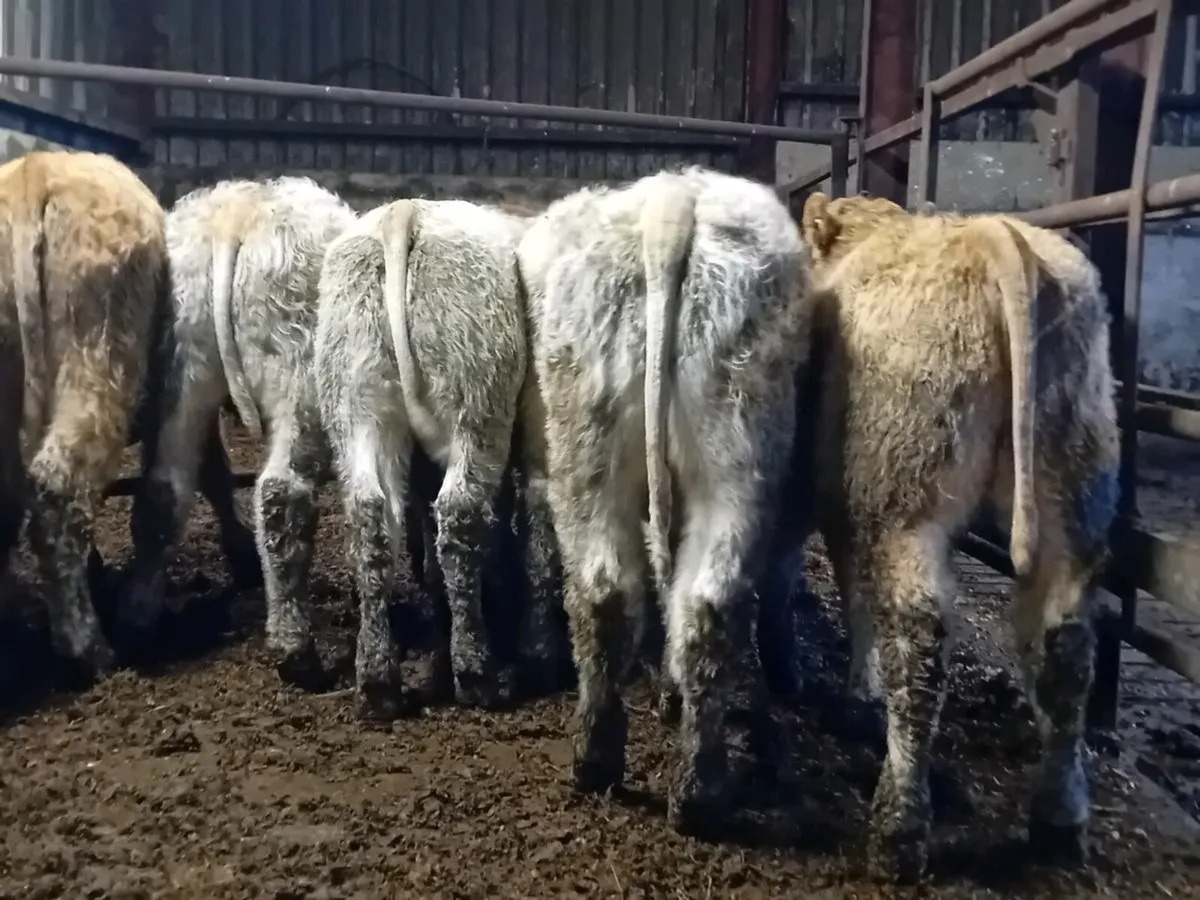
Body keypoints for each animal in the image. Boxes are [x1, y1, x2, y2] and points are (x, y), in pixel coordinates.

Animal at [126, 176, 356, 687]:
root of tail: (237, 213)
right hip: (299, 377)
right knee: (281, 495)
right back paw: (296, 648)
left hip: (182, 374)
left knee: (162, 496)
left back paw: (141, 625)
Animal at [517, 166, 816, 834]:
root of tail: (670, 204)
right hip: (731, 454)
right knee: (690, 603)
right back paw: (690, 785)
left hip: (592, 444)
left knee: (613, 593)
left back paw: (606, 761)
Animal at [795, 191, 1118, 882]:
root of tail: (991, 236)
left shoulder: (846, 499)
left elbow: (856, 597)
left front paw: (857, 695)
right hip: (1076, 481)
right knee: (1067, 643)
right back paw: (1059, 818)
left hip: (906, 499)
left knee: (918, 639)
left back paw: (898, 828)